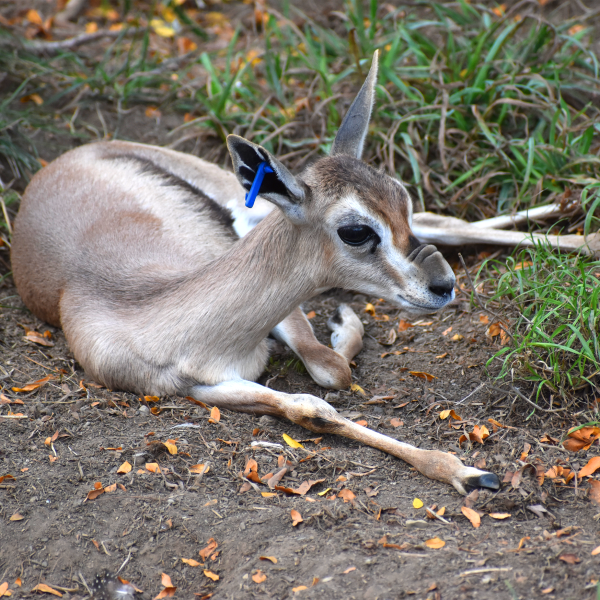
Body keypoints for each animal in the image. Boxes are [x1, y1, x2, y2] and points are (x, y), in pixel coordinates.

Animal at [11, 52, 500, 492]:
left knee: (445, 224)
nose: (443, 285)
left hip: (243, 203)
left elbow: (329, 368)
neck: (144, 309)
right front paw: (467, 472)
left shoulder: (280, 313)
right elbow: (312, 405)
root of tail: (65, 160)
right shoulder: (193, 386)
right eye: (356, 231)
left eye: (403, 199)